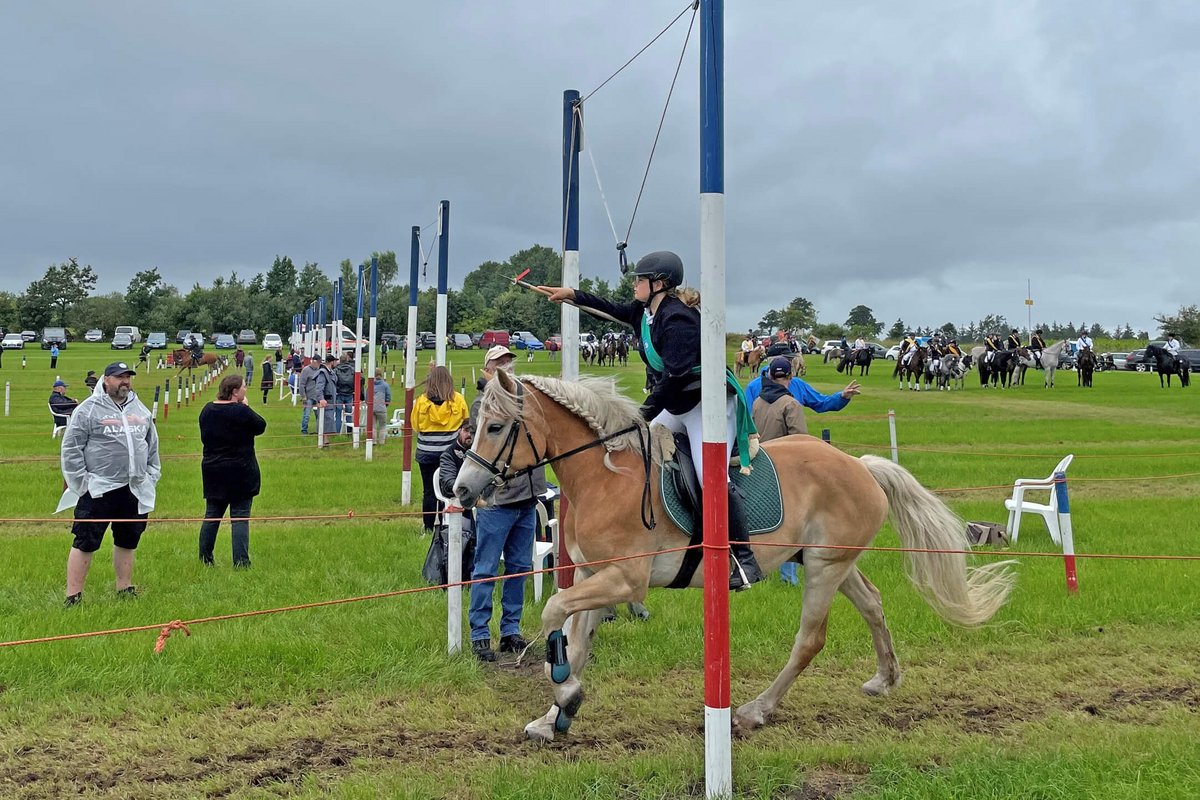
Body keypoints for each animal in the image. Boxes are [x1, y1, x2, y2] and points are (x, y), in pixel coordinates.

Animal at [451, 371, 1012, 743]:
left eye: (495, 427)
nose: (461, 489)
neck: (604, 474)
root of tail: (861, 466)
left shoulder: (624, 581)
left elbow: (553, 614)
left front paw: (564, 693)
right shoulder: (593, 576)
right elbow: (575, 636)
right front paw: (555, 715)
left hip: (824, 568)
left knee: (810, 640)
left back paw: (753, 711)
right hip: (828, 562)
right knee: (873, 603)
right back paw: (885, 679)